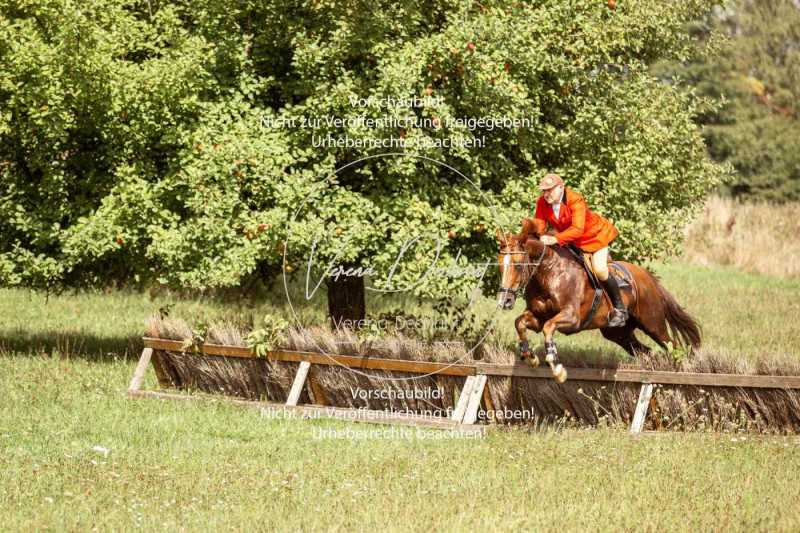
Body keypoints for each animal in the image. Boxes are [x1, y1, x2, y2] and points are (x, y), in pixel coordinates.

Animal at [494, 221, 700, 382]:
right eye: (499, 265)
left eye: (518, 265)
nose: (504, 301)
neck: (549, 273)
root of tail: (648, 278)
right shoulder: (538, 317)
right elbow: (520, 323)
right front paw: (529, 356)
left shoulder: (572, 318)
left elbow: (549, 327)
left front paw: (556, 367)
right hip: (618, 333)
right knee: (645, 351)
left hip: (652, 323)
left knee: (673, 345)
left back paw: (682, 370)